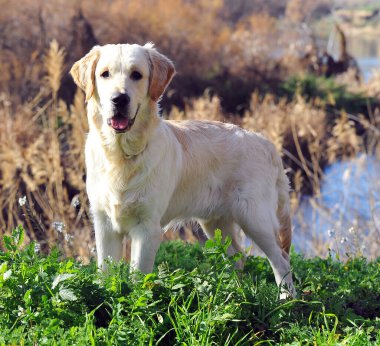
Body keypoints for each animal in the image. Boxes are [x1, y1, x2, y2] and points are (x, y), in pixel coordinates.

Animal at [72, 42, 296, 298]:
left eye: (137, 74)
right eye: (105, 74)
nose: (119, 99)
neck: (122, 155)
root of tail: (267, 143)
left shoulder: (147, 228)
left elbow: (138, 275)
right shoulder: (104, 224)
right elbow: (105, 271)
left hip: (254, 217)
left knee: (282, 259)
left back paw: (286, 299)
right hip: (216, 222)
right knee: (239, 258)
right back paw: (235, 293)